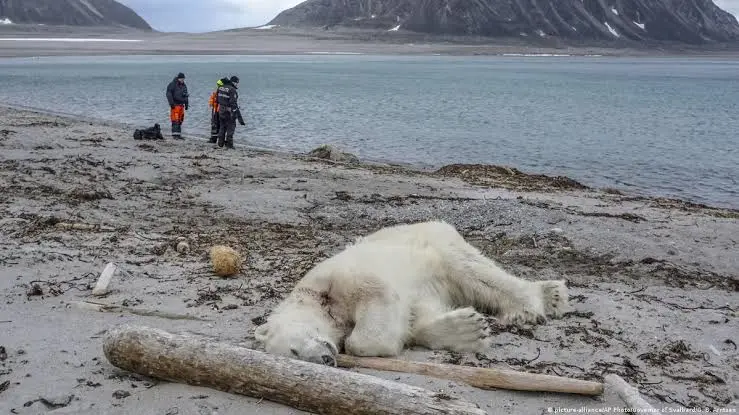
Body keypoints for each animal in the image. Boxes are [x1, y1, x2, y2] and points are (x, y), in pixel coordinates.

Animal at [254, 220, 570, 366]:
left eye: (294, 350)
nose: (325, 359)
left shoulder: (338, 279)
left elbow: (375, 303)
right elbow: (418, 315)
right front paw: (467, 329)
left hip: (436, 243)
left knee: (475, 271)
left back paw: (537, 302)